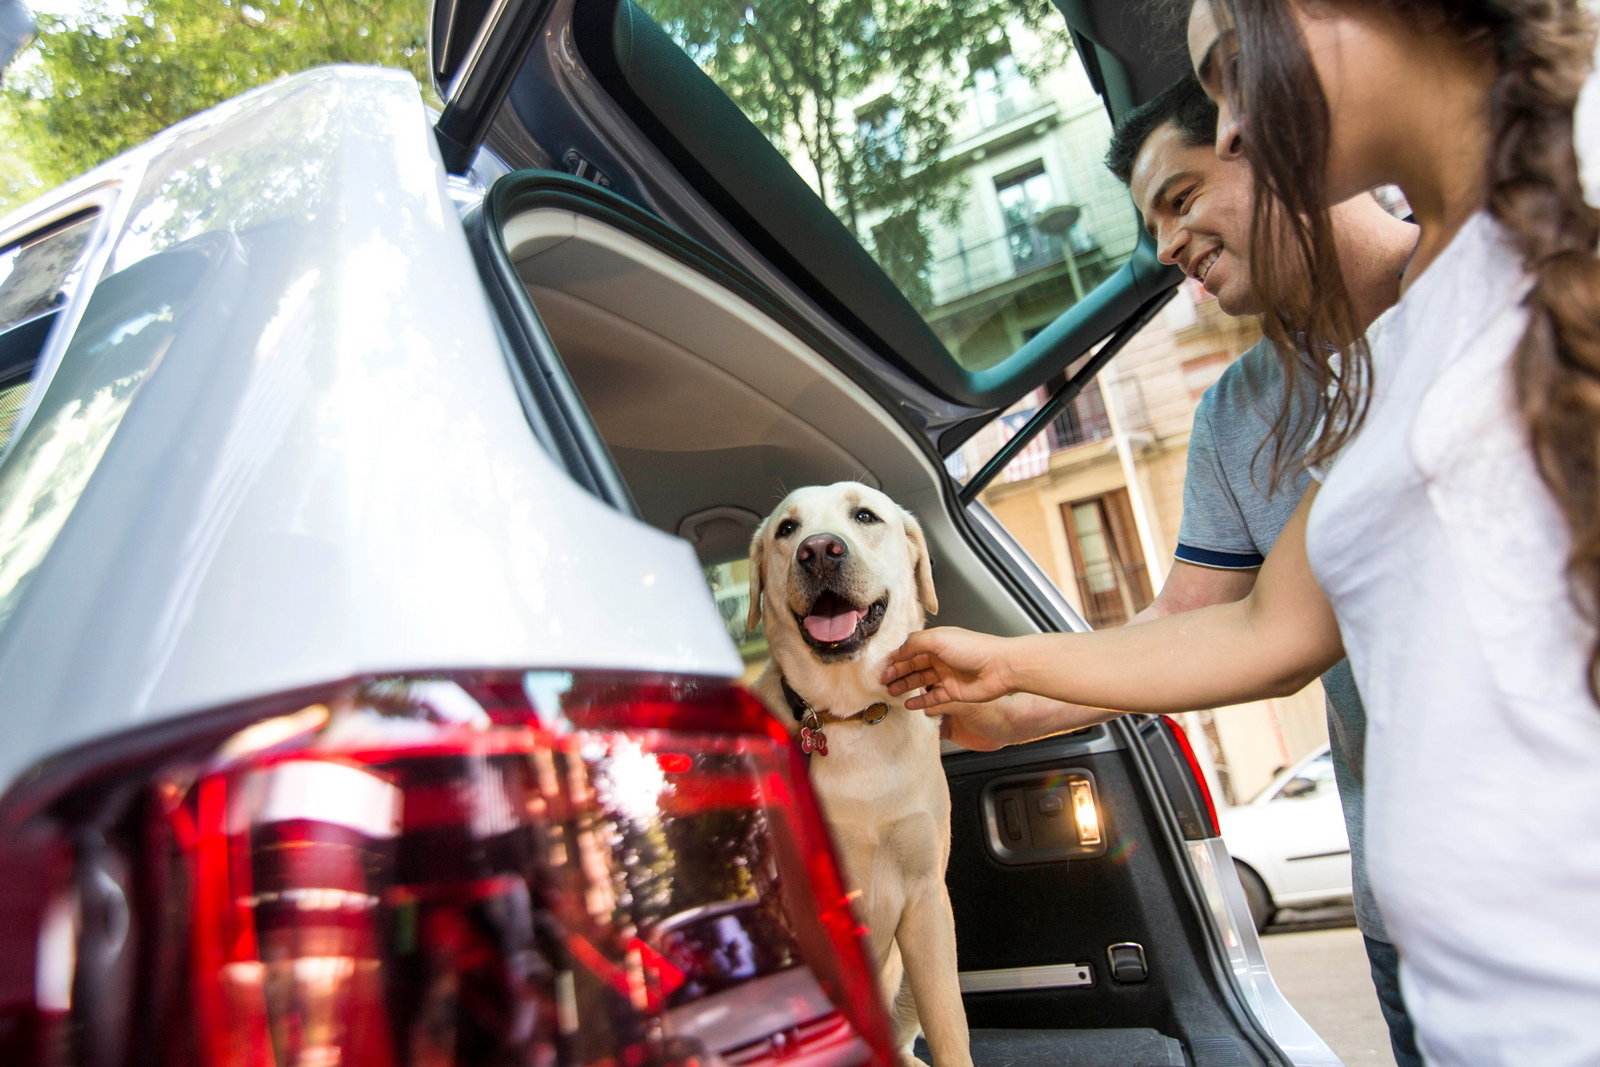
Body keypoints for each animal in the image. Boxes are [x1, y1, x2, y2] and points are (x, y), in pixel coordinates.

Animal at [742, 483, 966, 1067]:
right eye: (787, 529)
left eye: (864, 516)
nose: (819, 550)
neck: (848, 716)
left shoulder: (928, 897)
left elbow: (951, 1027)